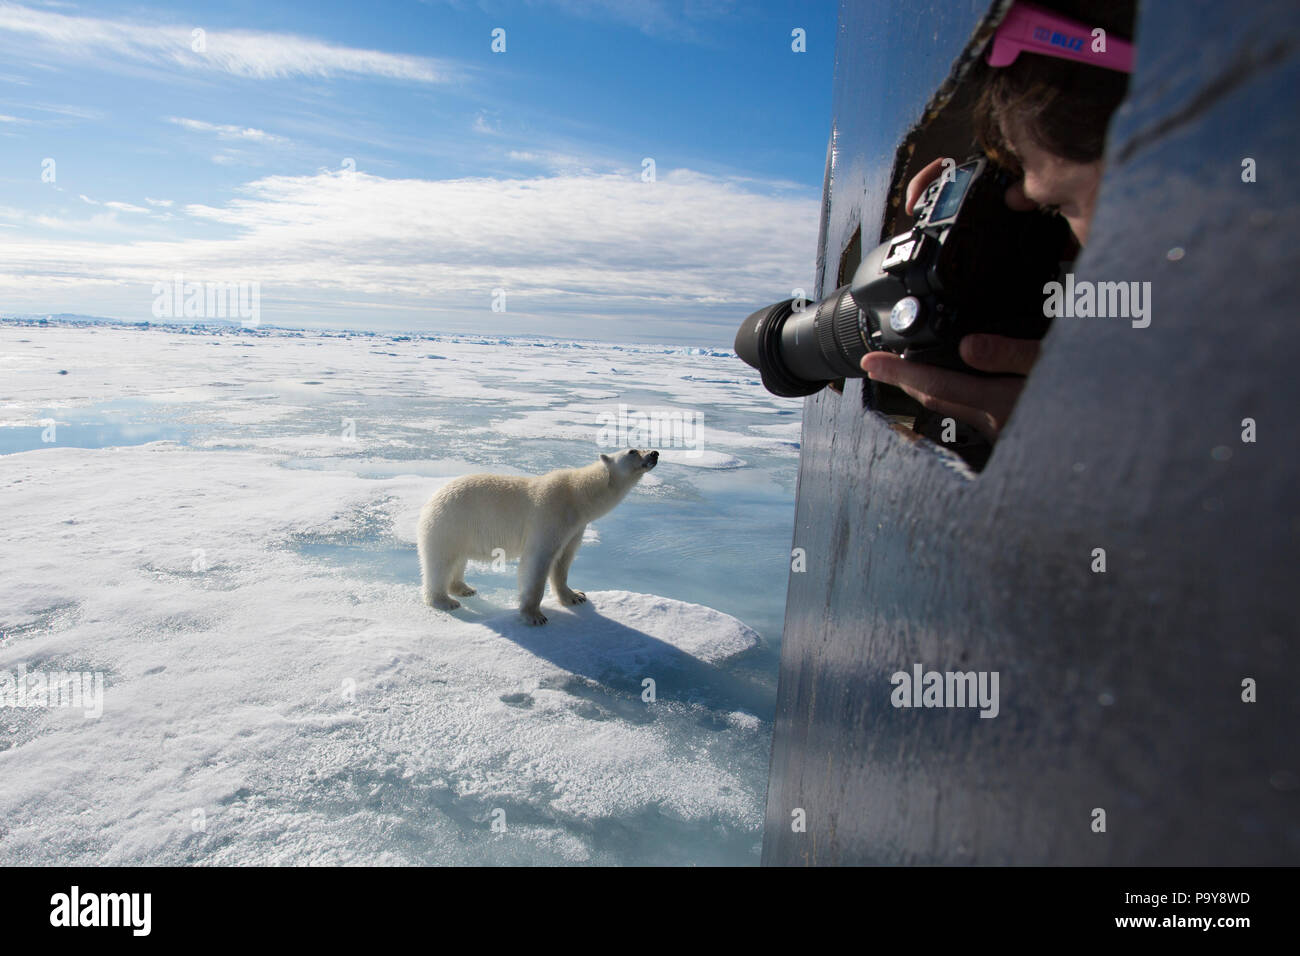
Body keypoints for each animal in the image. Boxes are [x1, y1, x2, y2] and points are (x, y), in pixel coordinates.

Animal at [418, 450, 660, 629]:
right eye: (632, 451)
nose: (655, 453)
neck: (578, 496)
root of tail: (431, 499)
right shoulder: (549, 515)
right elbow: (537, 562)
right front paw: (534, 616)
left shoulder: (575, 527)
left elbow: (564, 560)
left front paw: (575, 596)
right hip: (450, 523)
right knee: (441, 562)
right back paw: (444, 601)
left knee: (459, 560)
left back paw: (464, 588)